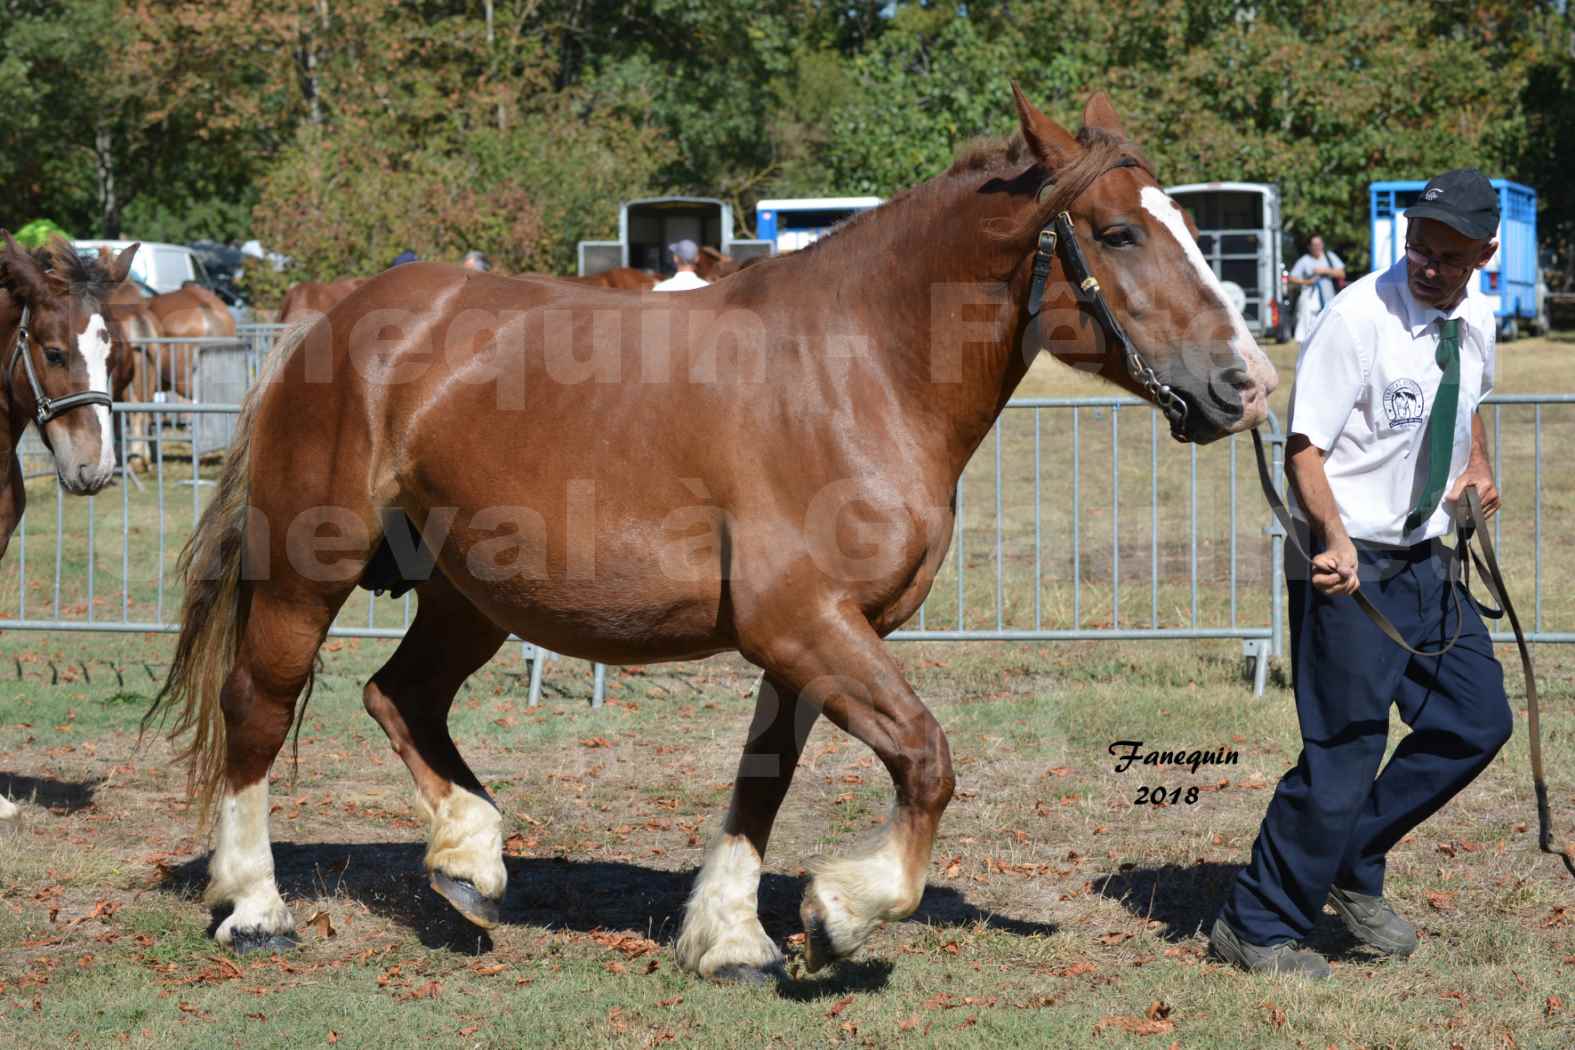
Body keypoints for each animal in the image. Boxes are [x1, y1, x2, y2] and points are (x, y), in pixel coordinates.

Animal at [150, 88, 1278, 976]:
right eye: (1120, 232)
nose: (1246, 385)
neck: (855, 369)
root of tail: (329, 322)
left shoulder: (817, 638)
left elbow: (762, 781)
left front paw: (733, 938)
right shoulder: (802, 623)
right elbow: (925, 758)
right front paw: (842, 910)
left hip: (469, 596)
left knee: (402, 697)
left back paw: (469, 862)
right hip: (307, 575)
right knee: (260, 707)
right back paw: (255, 906)